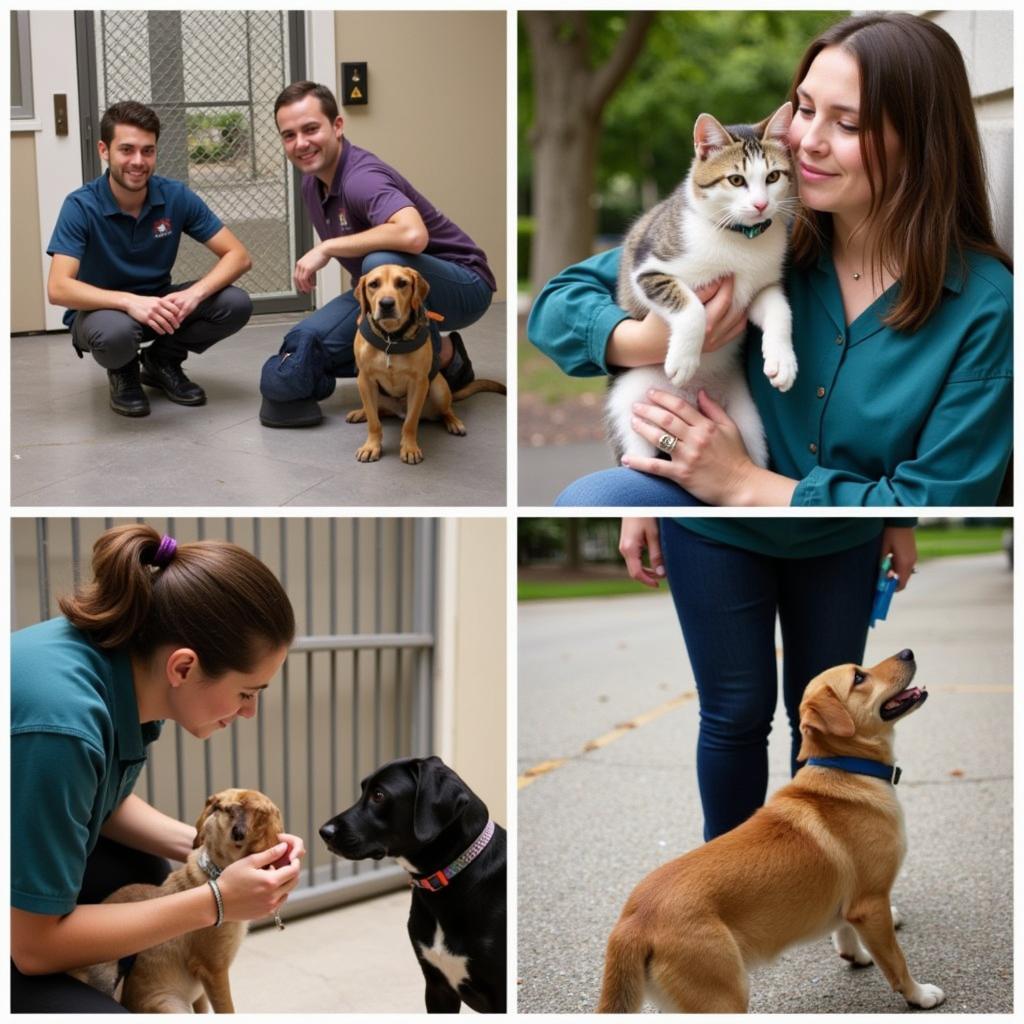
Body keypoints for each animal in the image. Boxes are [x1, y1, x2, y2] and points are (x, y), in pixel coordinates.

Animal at [73, 786, 284, 1011]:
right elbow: (227, 1010)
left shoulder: (201, 992)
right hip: (170, 1005)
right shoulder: (214, 970)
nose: (223, 806)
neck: (214, 871)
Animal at [350, 268, 505, 468]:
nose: (386, 304)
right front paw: (371, 446)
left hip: (439, 389)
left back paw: (454, 422)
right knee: (378, 411)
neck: (391, 339)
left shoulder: (419, 383)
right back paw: (360, 413)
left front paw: (409, 448)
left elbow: (410, 423)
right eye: (373, 284)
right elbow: (374, 422)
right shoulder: (365, 380)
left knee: (446, 410)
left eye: (402, 283)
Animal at [598, 651, 942, 1011]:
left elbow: (846, 931)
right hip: (724, 997)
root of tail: (633, 922)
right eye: (859, 678)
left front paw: (856, 955)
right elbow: (896, 962)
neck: (846, 769)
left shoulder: (852, 905)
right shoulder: (871, 904)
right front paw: (919, 995)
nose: (907, 653)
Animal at [606, 99, 798, 468]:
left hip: (748, 422)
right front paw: (684, 358)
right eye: (736, 180)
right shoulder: (646, 269)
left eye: (773, 176)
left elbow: (780, 309)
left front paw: (782, 359)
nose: (761, 204)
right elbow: (690, 305)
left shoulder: (759, 286)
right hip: (629, 402)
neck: (740, 239)